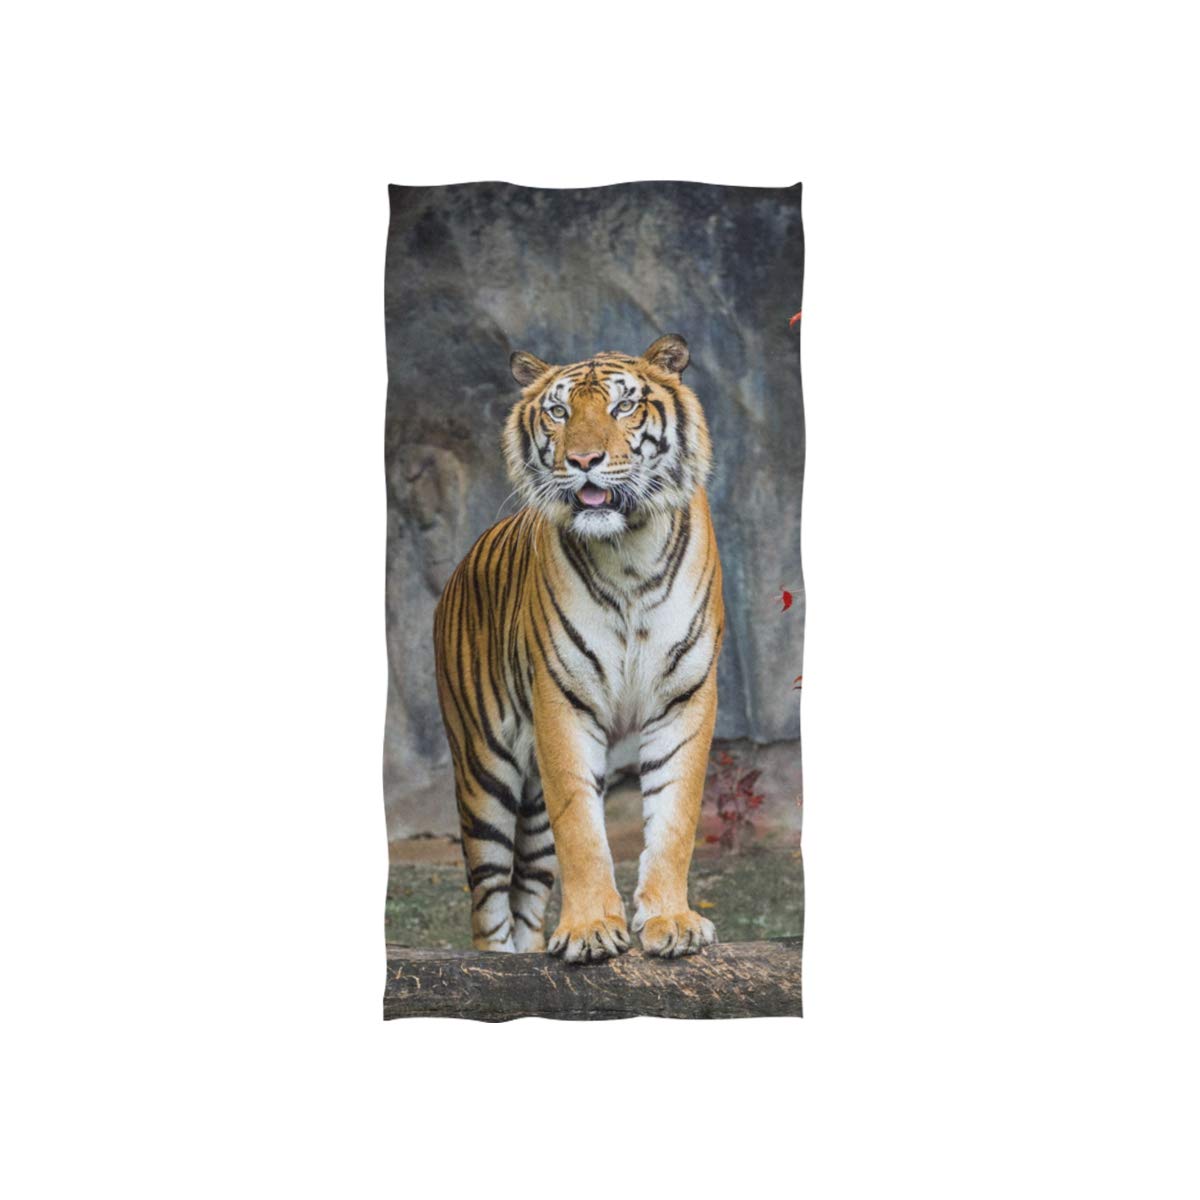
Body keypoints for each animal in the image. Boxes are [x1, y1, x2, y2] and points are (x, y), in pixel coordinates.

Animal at [433, 334, 724, 962]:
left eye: (623, 407)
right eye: (559, 412)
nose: (584, 461)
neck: (629, 551)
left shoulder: (684, 696)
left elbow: (675, 817)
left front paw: (672, 922)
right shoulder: (561, 701)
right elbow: (583, 830)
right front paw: (591, 930)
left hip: (530, 808)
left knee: (525, 896)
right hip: (483, 771)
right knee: (488, 903)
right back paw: (497, 964)